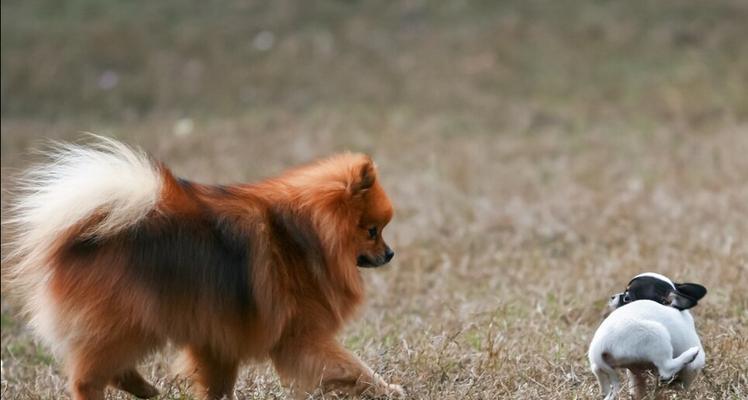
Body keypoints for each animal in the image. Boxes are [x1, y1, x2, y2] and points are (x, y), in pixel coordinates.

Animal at [4, 136, 404, 398]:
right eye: (372, 231)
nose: (390, 253)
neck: (302, 237)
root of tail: (82, 236)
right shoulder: (299, 335)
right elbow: (352, 366)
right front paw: (387, 388)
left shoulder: (217, 335)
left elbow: (217, 384)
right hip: (130, 324)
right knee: (87, 378)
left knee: (111, 371)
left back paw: (148, 390)